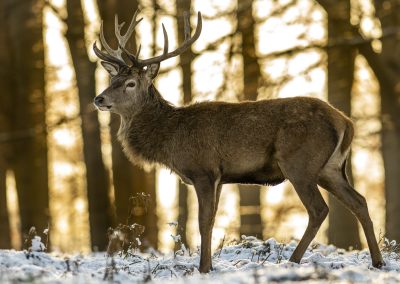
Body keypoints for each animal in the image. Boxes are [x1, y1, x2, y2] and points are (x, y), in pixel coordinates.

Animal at [93, 10, 384, 272]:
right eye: (112, 78)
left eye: (130, 83)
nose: (99, 98)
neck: (170, 139)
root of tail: (346, 123)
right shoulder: (220, 177)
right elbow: (211, 220)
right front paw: (208, 265)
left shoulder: (203, 170)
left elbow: (203, 221)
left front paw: (204, 268)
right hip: (330, 168)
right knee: (359, 201)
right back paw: (378, 262)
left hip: (299, 163)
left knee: (319, 209)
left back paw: (293, 261)